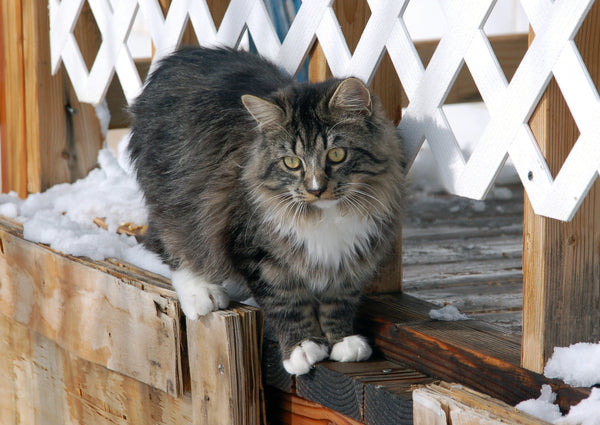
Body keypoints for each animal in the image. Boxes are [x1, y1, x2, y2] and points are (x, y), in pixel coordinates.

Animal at [128, 45, 406, 374]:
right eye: (292, 162)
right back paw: (202, 293)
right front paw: (302, 347)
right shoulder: (257, 251)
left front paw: (342, 341)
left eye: (337, 155)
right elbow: (285, 302)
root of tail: (177, 57)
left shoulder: (353, 253)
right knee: (174, 245)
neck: (324, 216)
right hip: (176, 200)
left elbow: (339, 300)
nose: (315, 189)